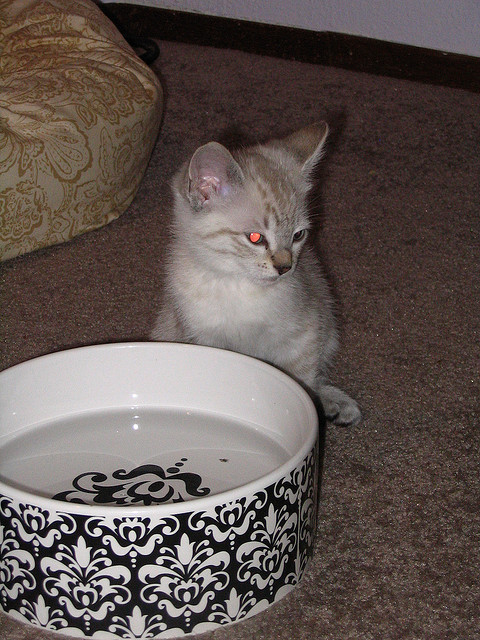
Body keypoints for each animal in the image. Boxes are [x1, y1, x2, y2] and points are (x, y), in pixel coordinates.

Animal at [151, 122, 361, 427]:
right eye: (255, 238)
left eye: (298, 235)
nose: (285, 267)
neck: (238, 287)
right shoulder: (200, 337)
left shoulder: (305, 332)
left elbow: (304, 381)